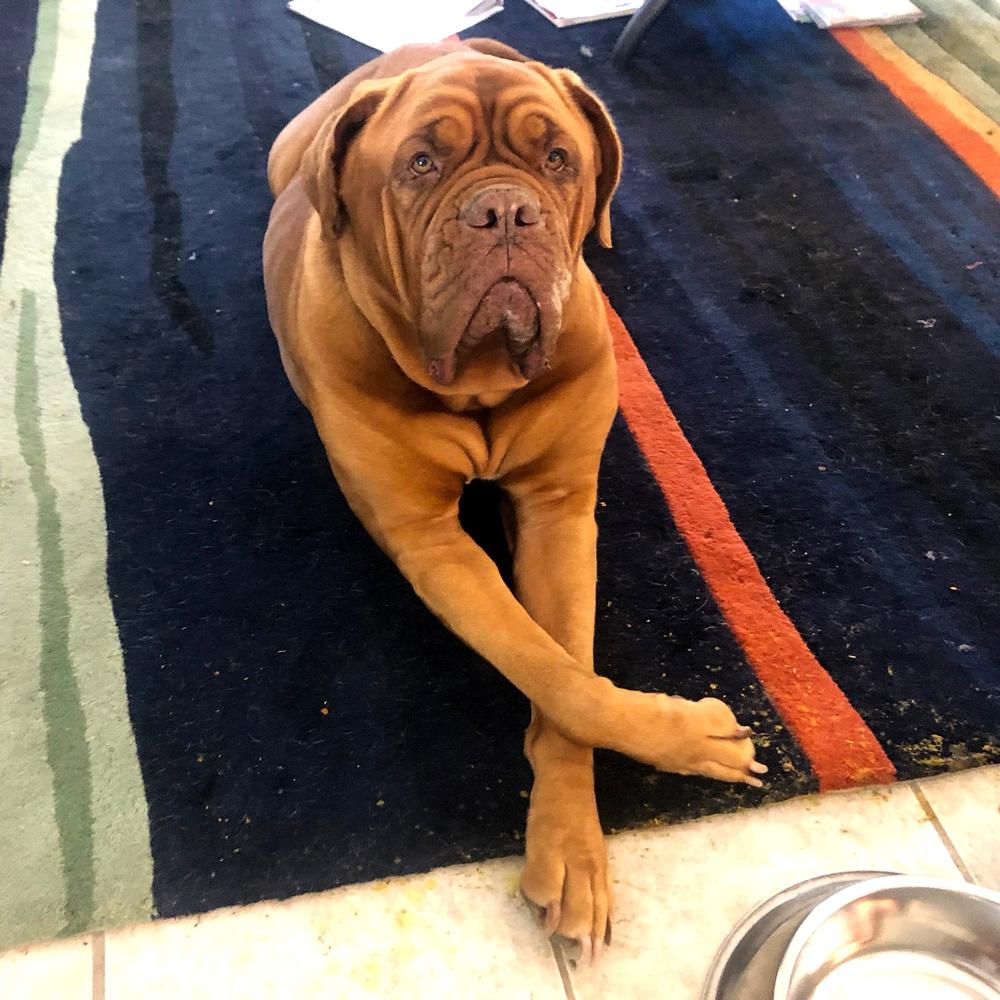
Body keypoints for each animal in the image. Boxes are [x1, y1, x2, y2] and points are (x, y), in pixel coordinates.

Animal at [262, 37, 760, 960]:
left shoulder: (558, 508)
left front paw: (571, 849)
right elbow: (557, 673)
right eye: (420, 163)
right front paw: (693, 737)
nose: (503, 211)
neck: (481, 381)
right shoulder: (430, 543)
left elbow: (566, 663)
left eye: (558, 160)